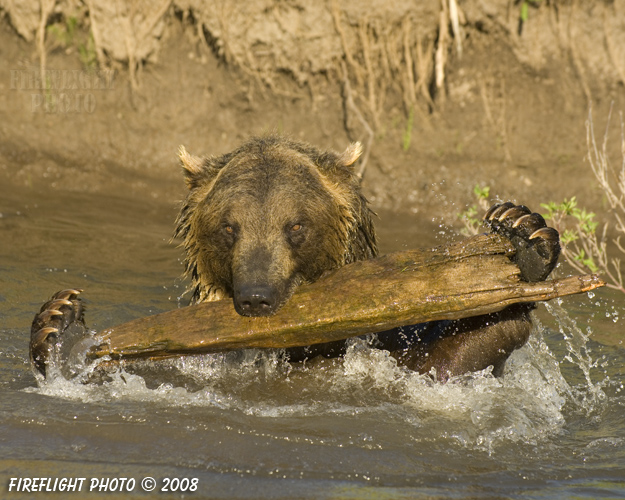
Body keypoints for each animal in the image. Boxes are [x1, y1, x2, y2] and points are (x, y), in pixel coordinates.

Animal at [29, 135, 560, 380]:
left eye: (296, 225)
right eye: (229, 227)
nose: (257, 296)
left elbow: (447, 359)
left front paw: (523, 234)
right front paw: (57, 321)